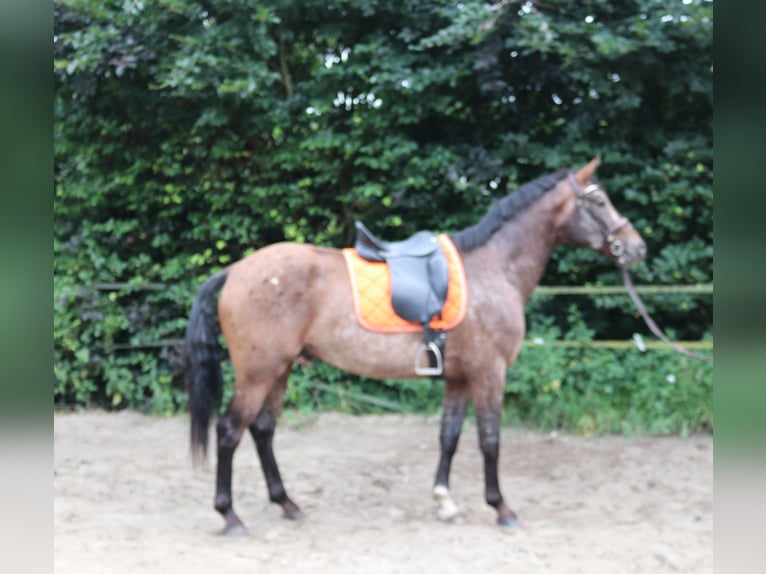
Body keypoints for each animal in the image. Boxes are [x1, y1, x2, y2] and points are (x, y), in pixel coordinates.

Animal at [184, 158, 648, 536]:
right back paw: (230, 515)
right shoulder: (490, 373)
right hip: (258, 372)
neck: (495, 267)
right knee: (229, 430)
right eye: (599, 201)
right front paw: (501, 508)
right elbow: (490, 439)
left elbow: (450, 436)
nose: (637, 246)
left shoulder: (459, 378)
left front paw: (444, 501)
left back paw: (287, 503)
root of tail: (235, 270)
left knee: (262, 430)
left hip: (280, 369)